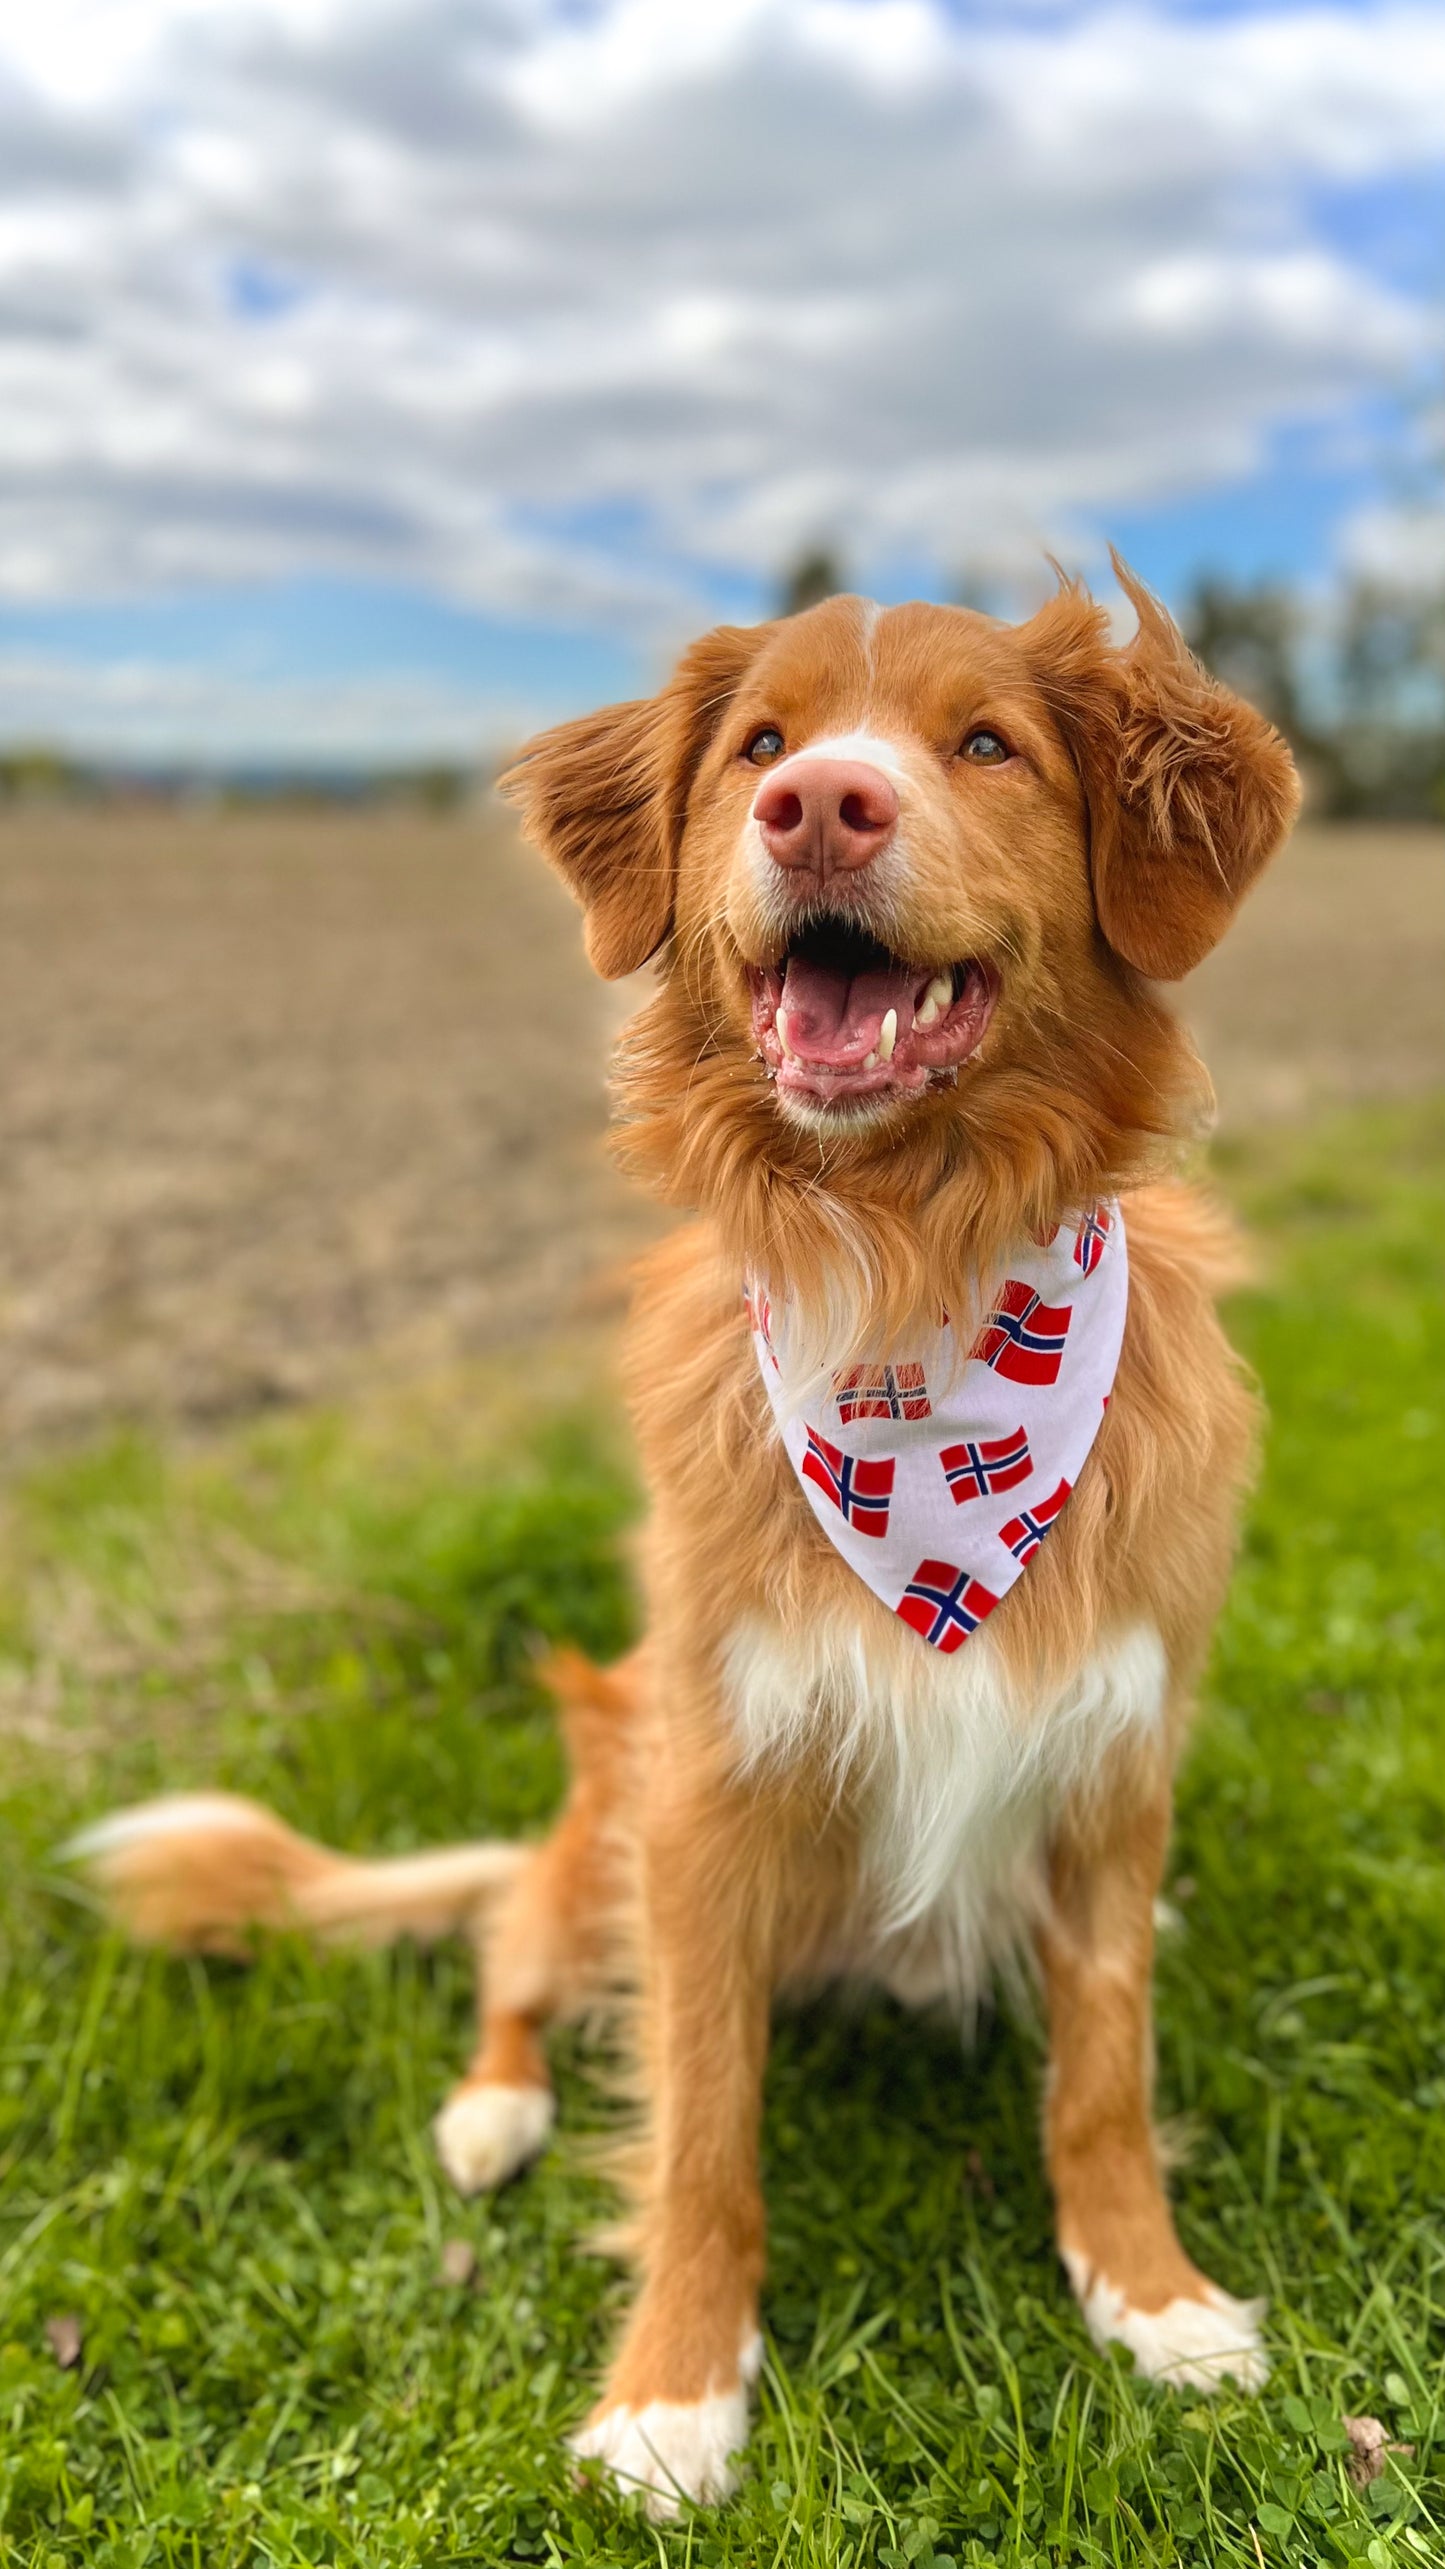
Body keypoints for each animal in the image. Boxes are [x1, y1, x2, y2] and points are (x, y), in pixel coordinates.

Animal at [75, 562, 1295, 2507]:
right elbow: (699, 2122)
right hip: (606, 1806)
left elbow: (1102, 2072)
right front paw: (672, 2390)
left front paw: (1152, 2296)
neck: (912, 1282)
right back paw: (488, 2107)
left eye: (987, 744)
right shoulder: (710, 1786)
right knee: (512, 1958)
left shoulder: (1113, 1759)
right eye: (760, 745)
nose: (821, 805)